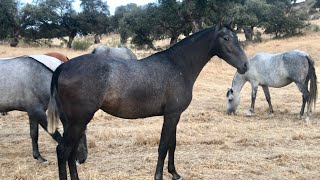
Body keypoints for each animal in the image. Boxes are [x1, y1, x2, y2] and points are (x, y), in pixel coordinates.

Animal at [46, 20, 249, 179]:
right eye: (226, 38)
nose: (245, 65)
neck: (178, 65)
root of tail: (63, 67)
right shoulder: (172, 115)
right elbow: (163, 147)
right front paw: (159, 176)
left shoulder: (174, 115)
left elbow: (172, 145)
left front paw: (174, 173)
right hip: (78, 121)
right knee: (63, 151)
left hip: (73, 122)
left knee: (71, 152)